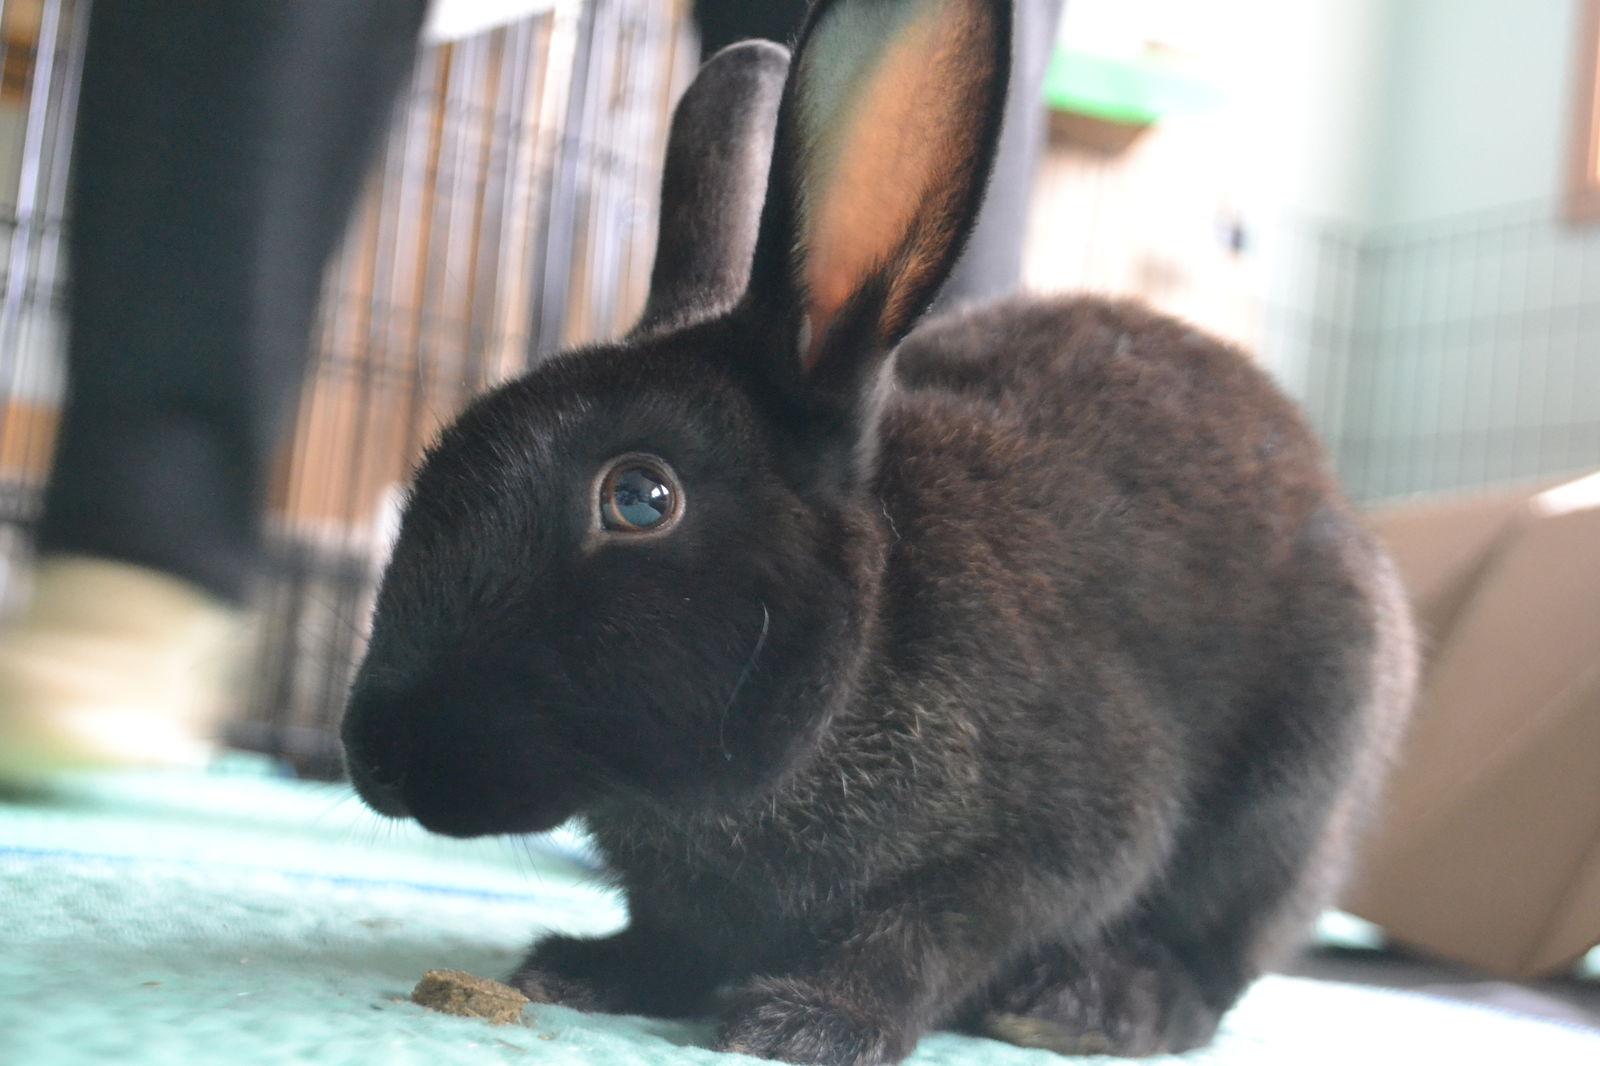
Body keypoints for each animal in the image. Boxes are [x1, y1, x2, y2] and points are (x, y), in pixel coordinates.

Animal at [340, 1, 1418, 1063]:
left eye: (640, 499)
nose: (372, 751)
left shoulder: (1057, 841)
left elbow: (928, 934)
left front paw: (808, 1022)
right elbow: (673, 934)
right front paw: (582, 972)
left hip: (1291, 795)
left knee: (1217, 969)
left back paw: (1088, 1004)